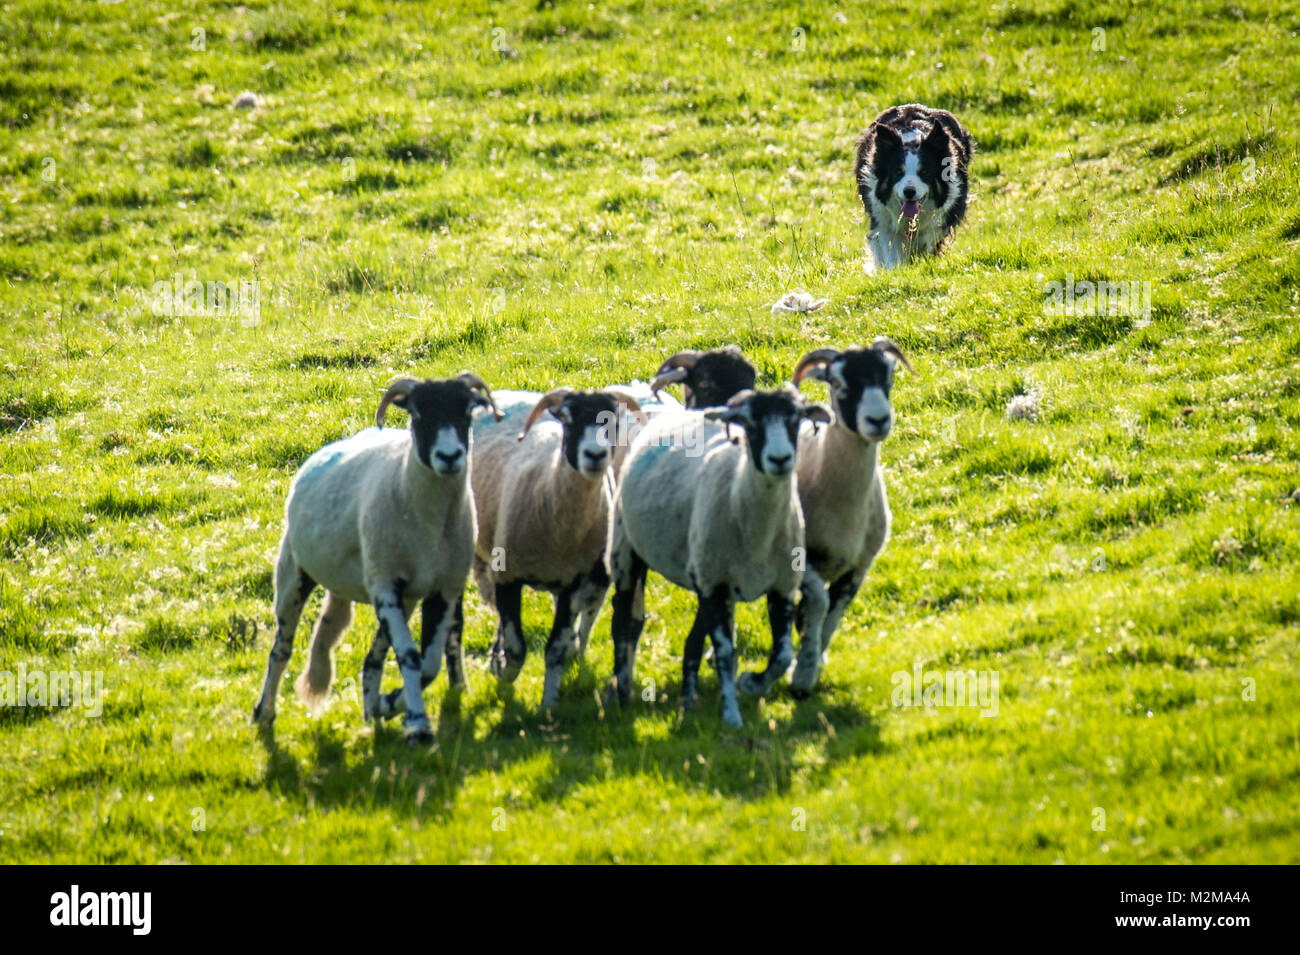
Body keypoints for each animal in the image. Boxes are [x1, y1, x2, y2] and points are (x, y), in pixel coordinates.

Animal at [250, 371, 499, 738]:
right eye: (418, 414)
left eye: (467, 411)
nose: (450, 456)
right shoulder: (385, 583)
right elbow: (410, 656)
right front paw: (417, 724)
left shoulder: (443, 588)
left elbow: (428, 663)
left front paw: (392, 703)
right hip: (294, 574)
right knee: (280, 649)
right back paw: (264, 712)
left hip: (400, 596)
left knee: (371, 658)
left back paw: (373, 711)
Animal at [473, 387, 644, 712]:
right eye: (567, 419)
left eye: (613, 421)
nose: (595, 455)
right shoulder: (507, 577)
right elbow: (516, 647)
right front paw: (503, 672)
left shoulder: (574, 585)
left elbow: (555, 648)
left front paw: (548, 706)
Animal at [603, 384, 826, 727]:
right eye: (750, 424)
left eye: (796, 420)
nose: (780, 459)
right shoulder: (713, 585)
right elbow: (724, 653)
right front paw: (732, 716)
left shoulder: (781, 587)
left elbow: (782, 655)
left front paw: (751, 683)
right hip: (626, 550)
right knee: (623, 620)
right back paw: (622, 691)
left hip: (704, 572)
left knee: (694, 635)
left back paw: (688, 696)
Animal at [774, 340, 920, 696]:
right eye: (838, 382)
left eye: (889, 376)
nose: (878, 419)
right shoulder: (802, 561)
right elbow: (818, 603)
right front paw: (803, 673)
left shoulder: (860, 565)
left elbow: (833, 615)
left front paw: (813, 662)